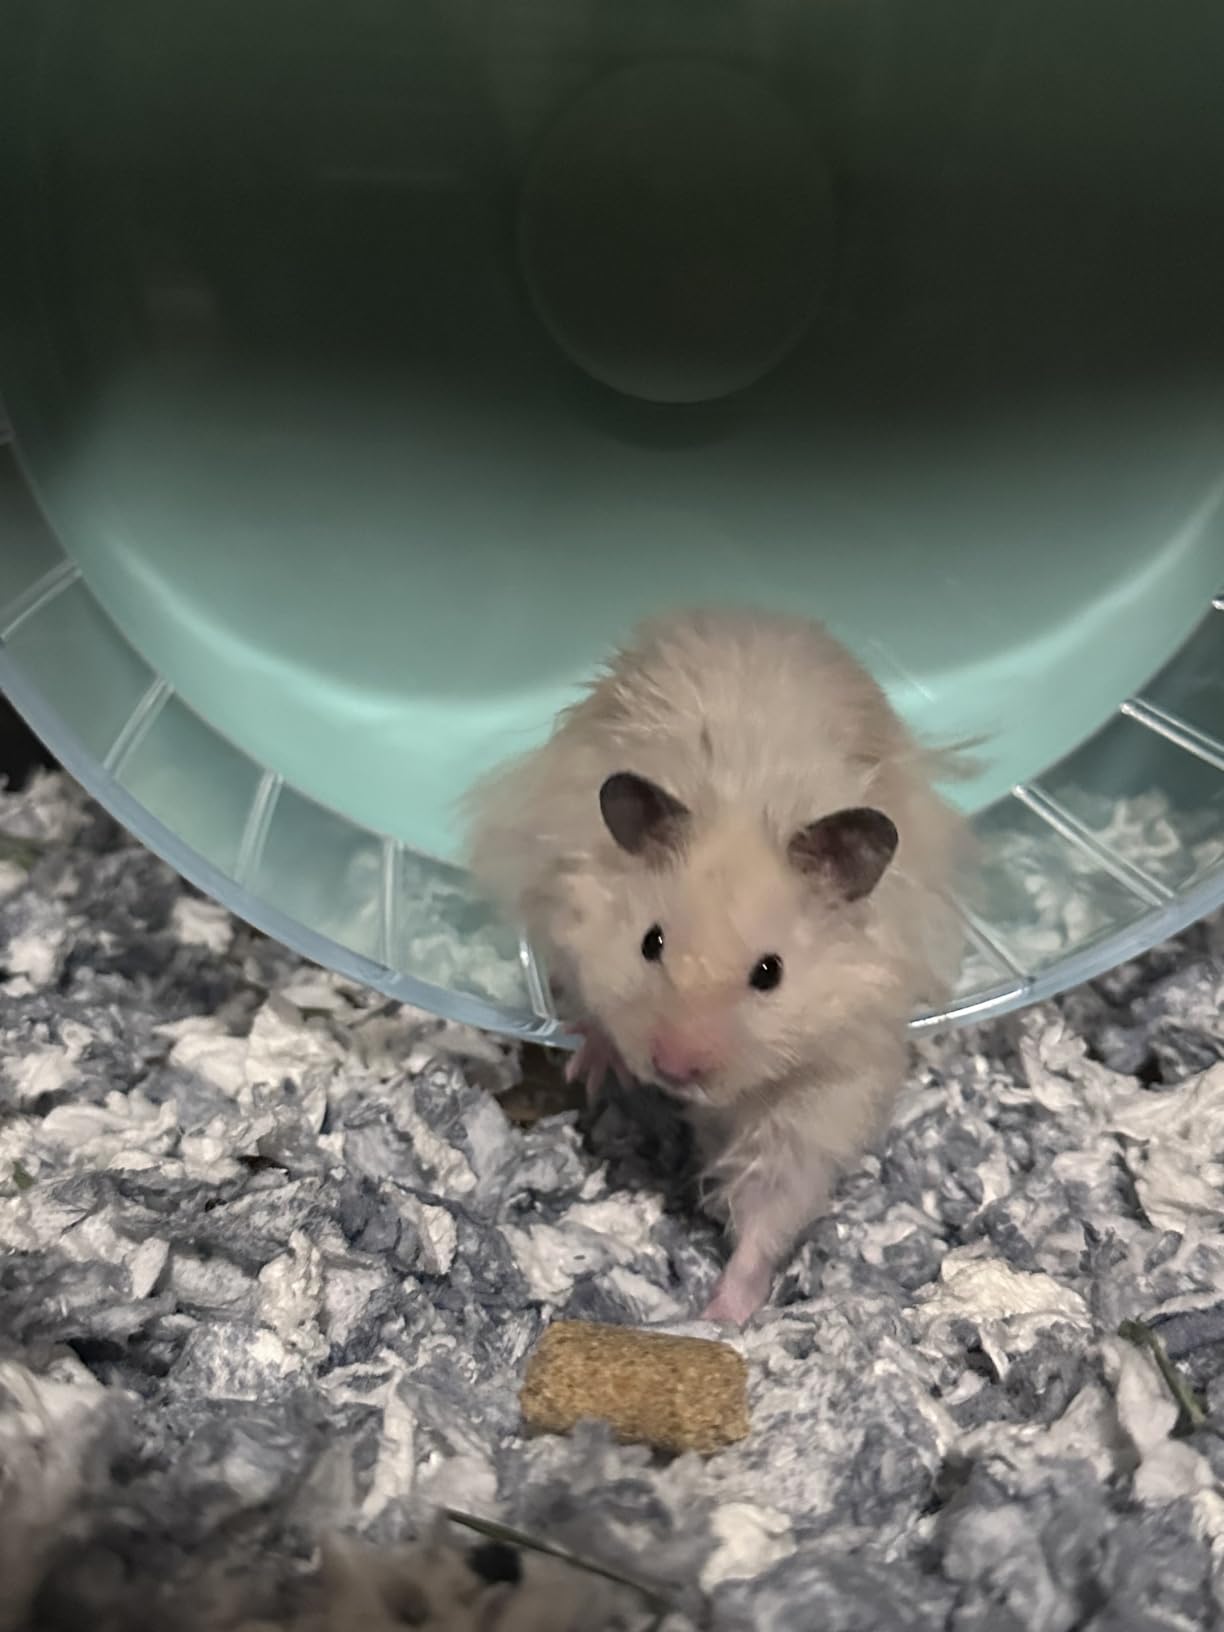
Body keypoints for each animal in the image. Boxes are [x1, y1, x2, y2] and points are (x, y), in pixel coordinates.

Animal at [462, 607, 971, 1325]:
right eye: (650, 943)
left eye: (770, 973)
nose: (673, 1070)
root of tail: (761, 610)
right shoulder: (565, 903)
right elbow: (591, 1004)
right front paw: (592, 1065)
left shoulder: (828, 1085)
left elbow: (772, 1206)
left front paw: (723, 1314)